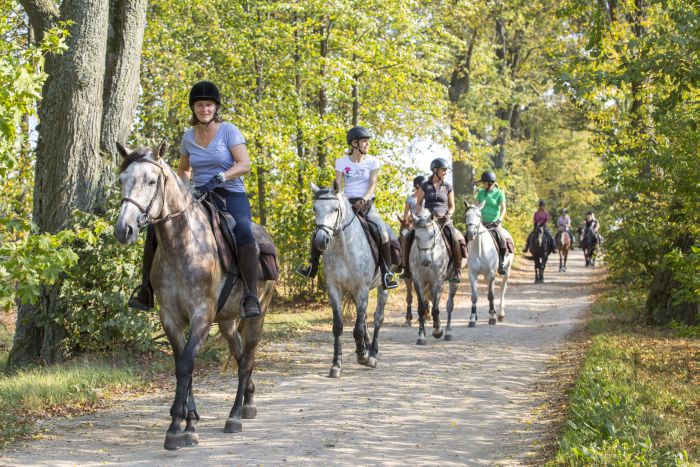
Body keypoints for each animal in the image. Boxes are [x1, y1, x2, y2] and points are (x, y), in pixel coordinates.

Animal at [114, 142, 276, 450]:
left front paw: (178, 426)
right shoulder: (171, 318)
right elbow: (181, 363)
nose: (123, 229)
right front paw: (188, 422)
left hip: (257, 316)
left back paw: (235, 415)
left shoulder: (202, 314)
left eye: (151, 181)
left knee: (246, 360)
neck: (183, 245)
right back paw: (247, 400)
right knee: (239, 355)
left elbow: (187, 363)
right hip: (227, 322)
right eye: (122, 181)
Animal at [310, 182, 388, 376]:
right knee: (365, 318)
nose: (320, 241)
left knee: (377, 317)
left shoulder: (362, 289)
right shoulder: (334, 289)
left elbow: (358, 328)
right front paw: (336, 365)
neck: (344, 246)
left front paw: (362, 356)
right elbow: (338, 326)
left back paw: (372, 354)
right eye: (315, 208)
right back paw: (367, 348)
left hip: (382, 288)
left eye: (335, 209)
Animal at [410, 210, 460, 346]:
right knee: (432, 300)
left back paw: (447, 332)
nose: (426, 261)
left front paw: (438, 331)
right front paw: (421, 336)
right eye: (416, 236)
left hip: (452, 280)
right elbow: (422, 308)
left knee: (449, 305)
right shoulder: (418, 281)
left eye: (432, 235)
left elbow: (436, 308)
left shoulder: (438, 280)